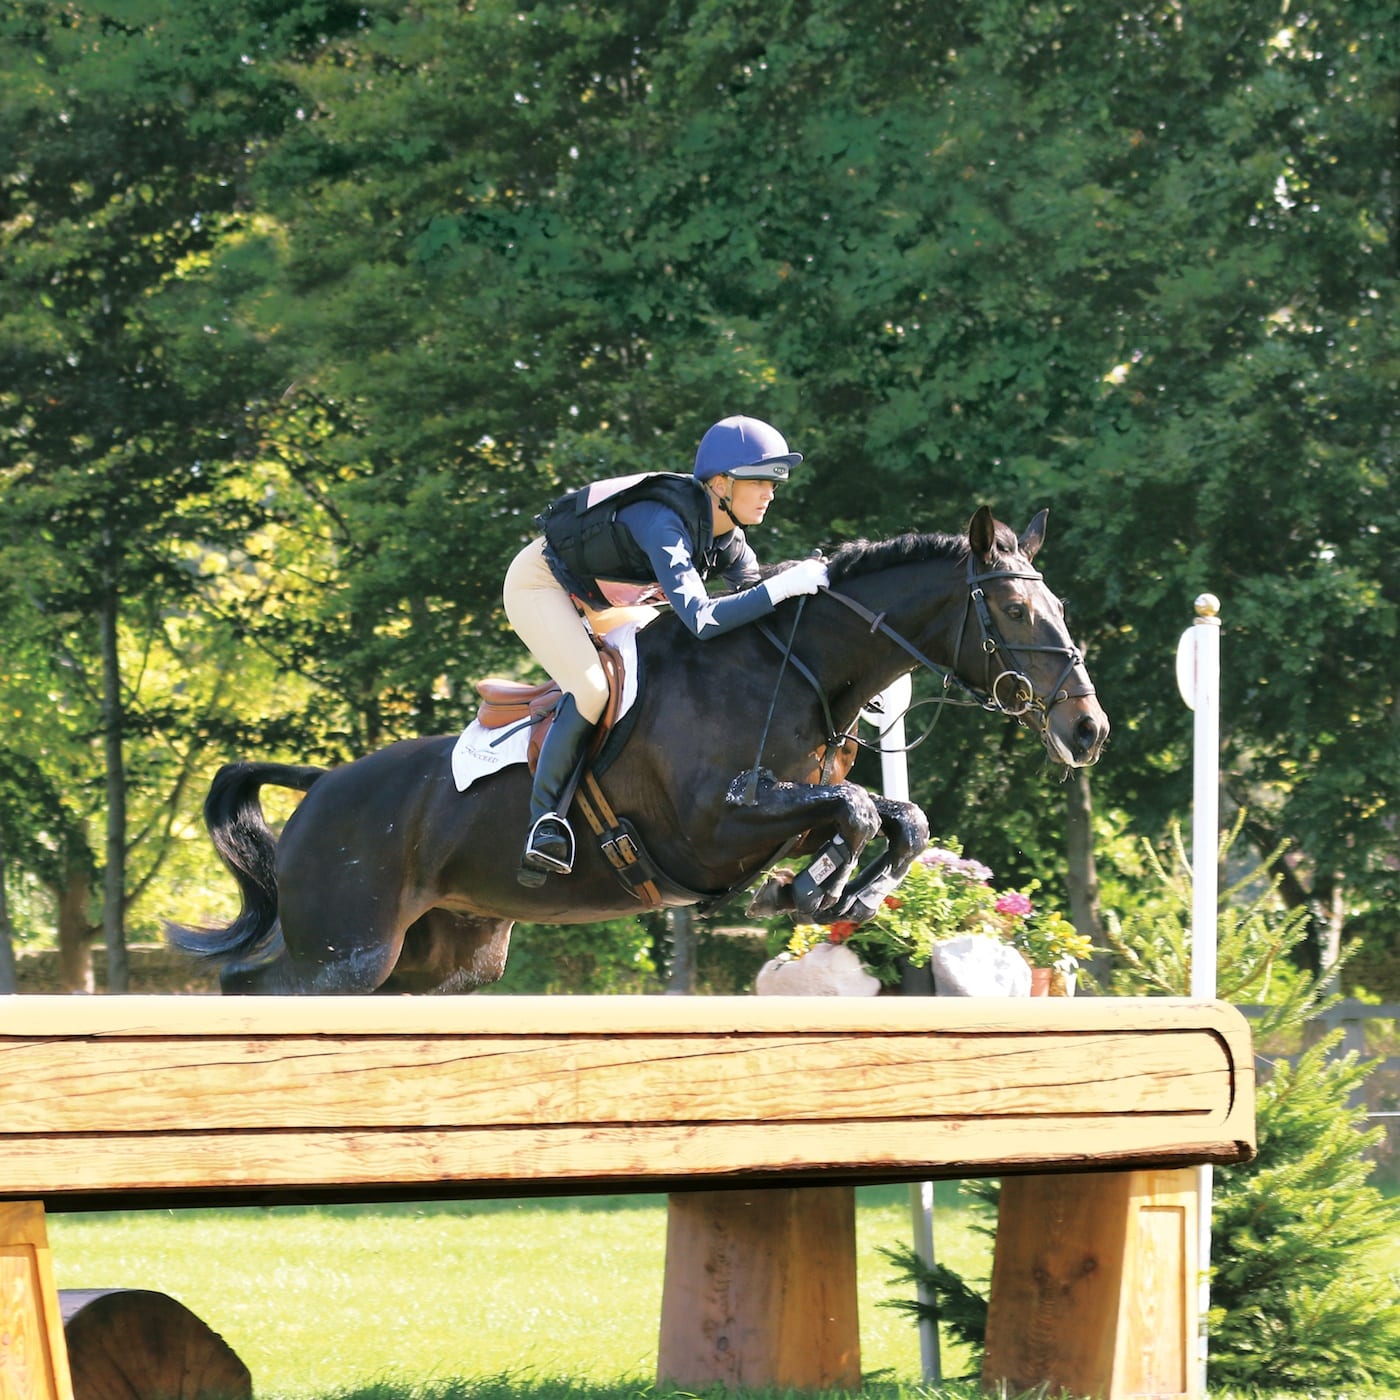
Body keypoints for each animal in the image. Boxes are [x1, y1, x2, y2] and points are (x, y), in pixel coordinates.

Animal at [166, 509, 1103, 991]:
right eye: (1013, 612)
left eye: (1057, 604)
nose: (1086, 729)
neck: (790, 669)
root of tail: (323, 787)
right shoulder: (712, 829)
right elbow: (860, 808)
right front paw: (809, 893)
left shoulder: (779, 813)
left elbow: (893, 817)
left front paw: (832, 895)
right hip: (345, 953)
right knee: (248, 987)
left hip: (439, 962)